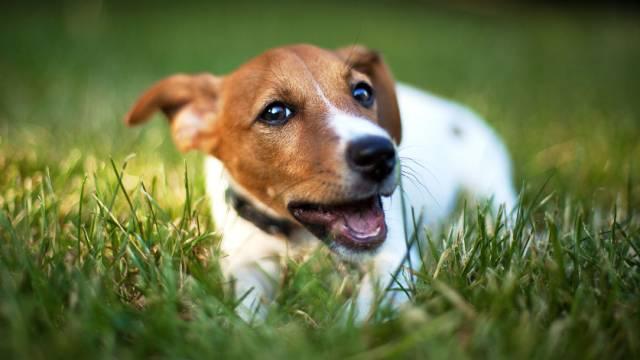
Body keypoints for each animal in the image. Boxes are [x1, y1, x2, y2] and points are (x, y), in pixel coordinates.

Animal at [122, 43, 516, 322]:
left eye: (362, 93)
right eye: (275, 112)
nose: (380, 154)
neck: (302, 242)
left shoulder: (394, 260)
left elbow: (362, 313)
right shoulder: (246, 261)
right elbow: (246, 313)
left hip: (493, 187)